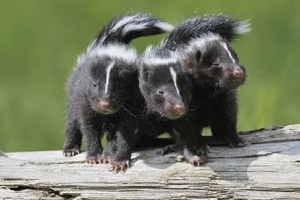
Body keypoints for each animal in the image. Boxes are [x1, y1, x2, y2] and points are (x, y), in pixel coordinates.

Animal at [62, 13, 173, 164]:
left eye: (120, 86)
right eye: (94, 84)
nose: (105, 103)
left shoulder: (131, 107)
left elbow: (119, 133)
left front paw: (108, 155)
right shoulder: (85, 102)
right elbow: (89, 128)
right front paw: (94, 156)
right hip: (74, 94)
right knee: (72, 122)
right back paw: (70, 149)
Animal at [162, 14, 251, 147]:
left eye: (236, 59)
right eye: (216, 64)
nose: (238, 72)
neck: (209, 91)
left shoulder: (226, 98)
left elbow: (229, 119)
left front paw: (236, 140)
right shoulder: (185, 100)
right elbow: (189, 125)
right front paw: (199, 145)